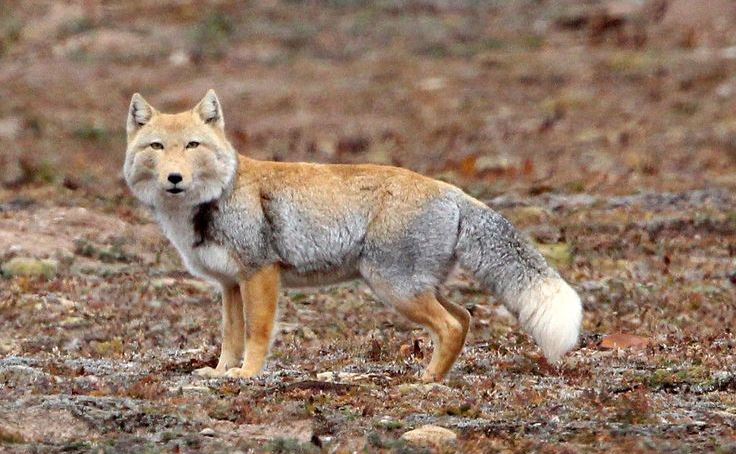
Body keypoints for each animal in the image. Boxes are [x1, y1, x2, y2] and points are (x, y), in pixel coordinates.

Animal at [124, 90, 582, 382]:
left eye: (193, 145)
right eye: (157, 147)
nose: (175, 178)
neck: (216, 197)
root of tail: (453, 191)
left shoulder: (261, 275)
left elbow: (256, 334)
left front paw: (248, 375)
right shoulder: (230, 285)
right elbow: (230, 336)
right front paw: (220, 373)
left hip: (395, 288)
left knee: (451, 325)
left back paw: (424, 381)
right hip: (414, 287)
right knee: (465, 317)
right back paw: (434, 375)